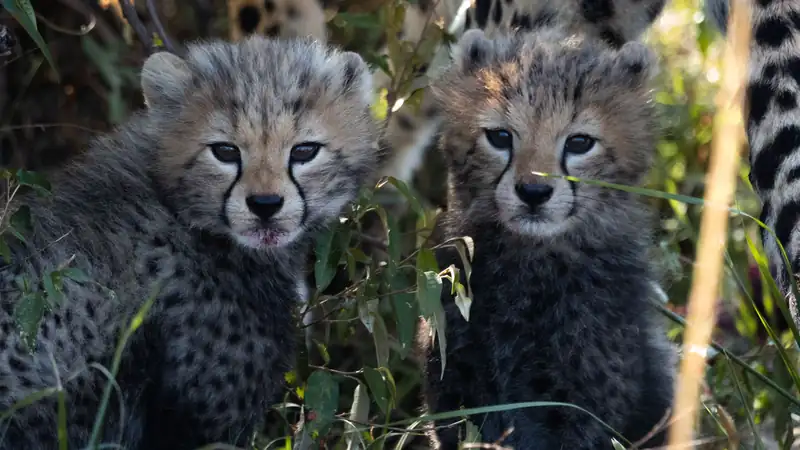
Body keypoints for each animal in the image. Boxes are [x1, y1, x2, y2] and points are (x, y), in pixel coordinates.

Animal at [418, 27, 676, 449]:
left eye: (579, 143)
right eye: (500, 136)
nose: (533, 193)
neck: (532, 265)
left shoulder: (580, 413)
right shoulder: (459, 390)